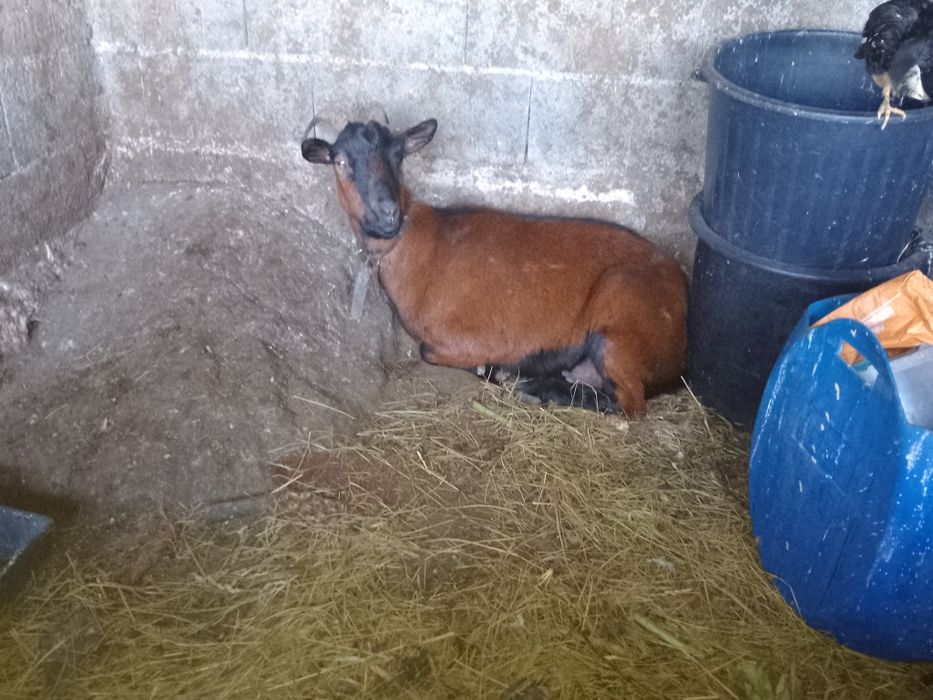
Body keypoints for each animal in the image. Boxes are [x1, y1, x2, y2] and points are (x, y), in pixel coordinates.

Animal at [301, 118, 687, 414]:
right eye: (340, 162)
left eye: (399, 156)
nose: (387, 214)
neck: (421, 245)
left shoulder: (470, 338)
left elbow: (432, 351)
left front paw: (491, 370)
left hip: (620, 319)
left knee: (628, 402)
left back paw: (535, 389)